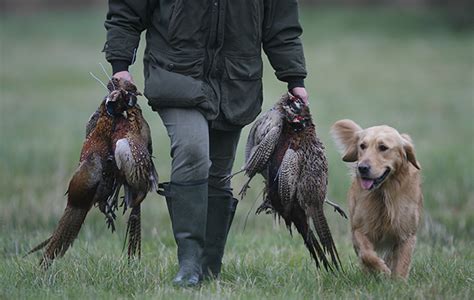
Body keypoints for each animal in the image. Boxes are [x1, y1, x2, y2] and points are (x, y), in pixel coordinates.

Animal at [332, 119, 424, 278]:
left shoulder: (406, 234)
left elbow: (402, 264)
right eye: (362, 146)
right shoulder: (359, 229)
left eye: (383, 147)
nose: (362, 168)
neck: (383, 194)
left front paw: (398, 281)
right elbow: (366, 254)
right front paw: (381, 269)